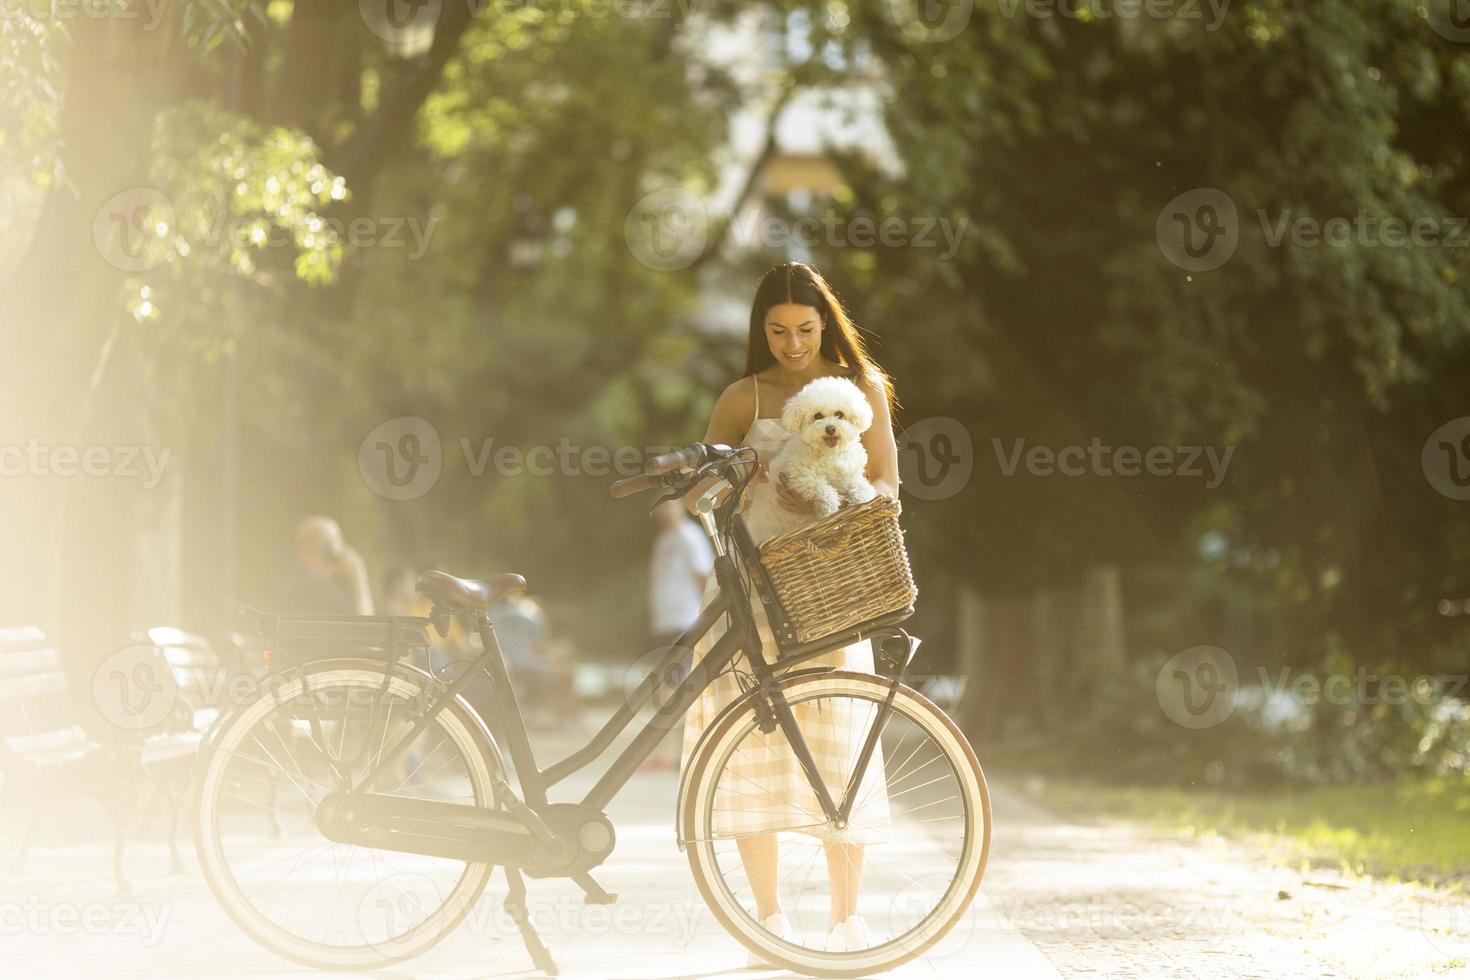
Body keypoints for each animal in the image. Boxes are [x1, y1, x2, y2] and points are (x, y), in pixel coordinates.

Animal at [740, 373, 876, 543]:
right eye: (818, 416)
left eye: (839, 414)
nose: (830, 428)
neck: (830, 454)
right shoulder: (802, 477)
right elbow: (824, 490)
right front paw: (829, 510)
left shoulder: (851, 474)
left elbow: (860, 485)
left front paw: (864, 498)